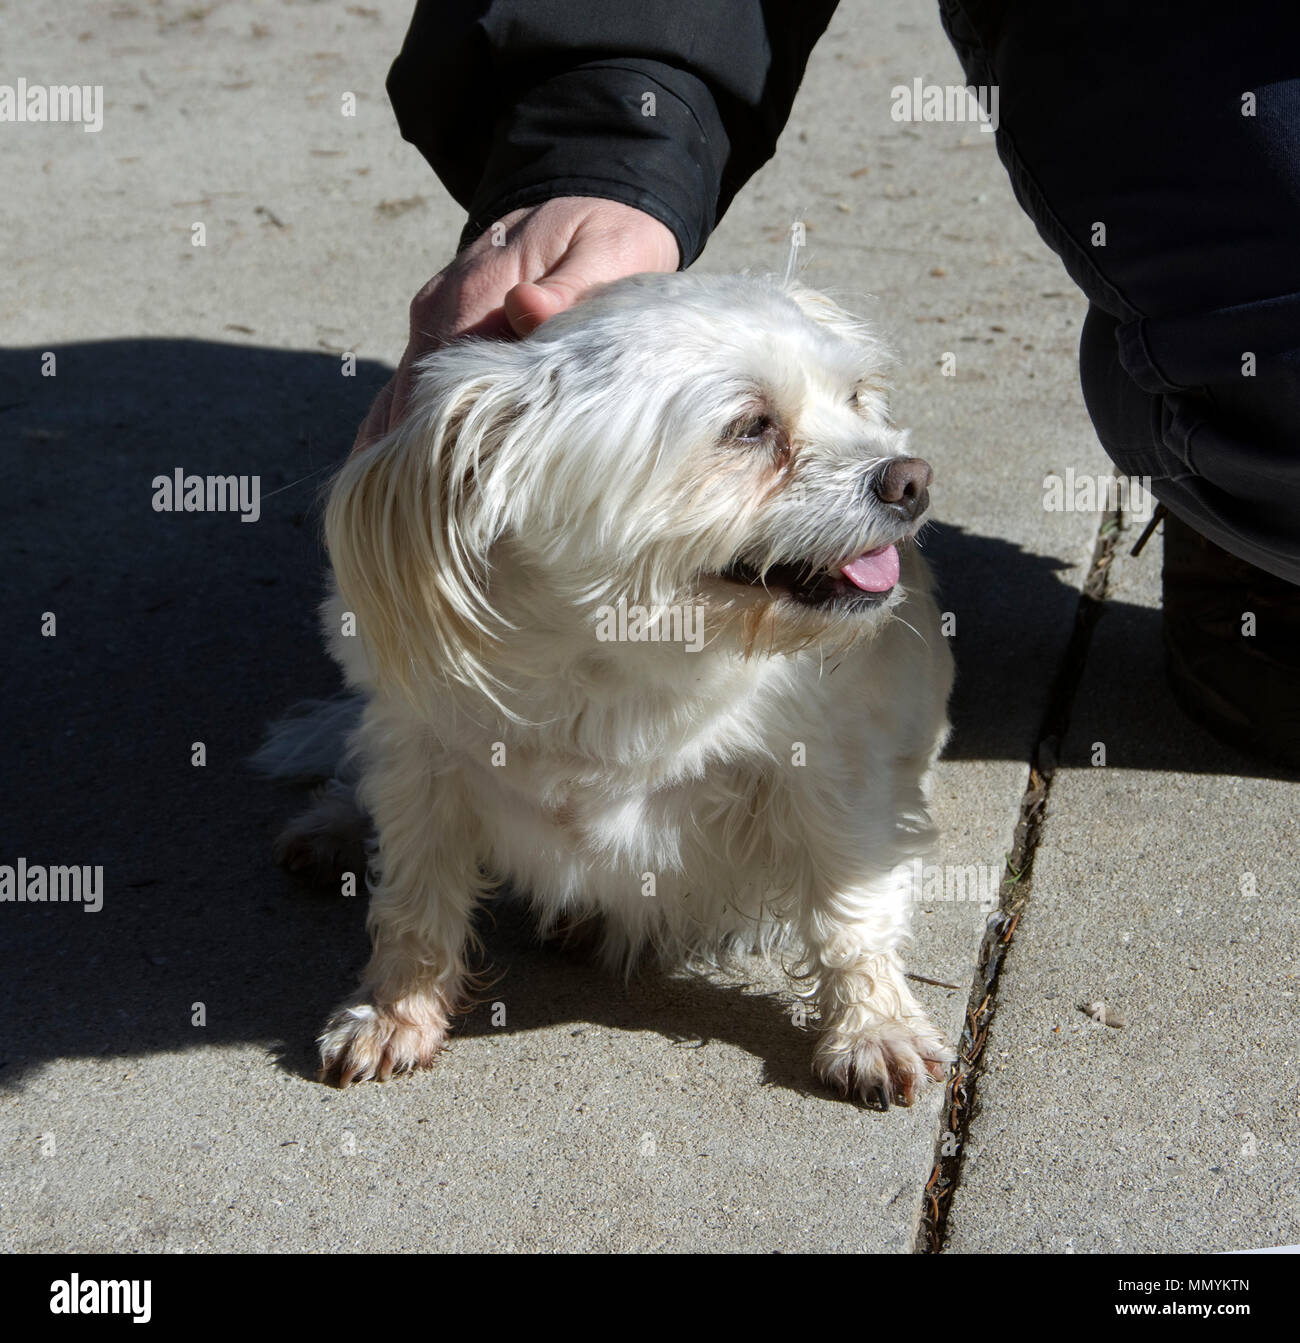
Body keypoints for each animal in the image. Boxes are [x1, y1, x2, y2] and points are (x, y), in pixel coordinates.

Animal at [261, 275, 956, 1112]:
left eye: (855, 397)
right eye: (751, 427)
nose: (913, 476)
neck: (627, 654)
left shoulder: (834, 774)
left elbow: (849, 909)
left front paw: (872, 1026)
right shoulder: (421, 759)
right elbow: (417, 898)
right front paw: (395, 1008)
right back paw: (332, 823)